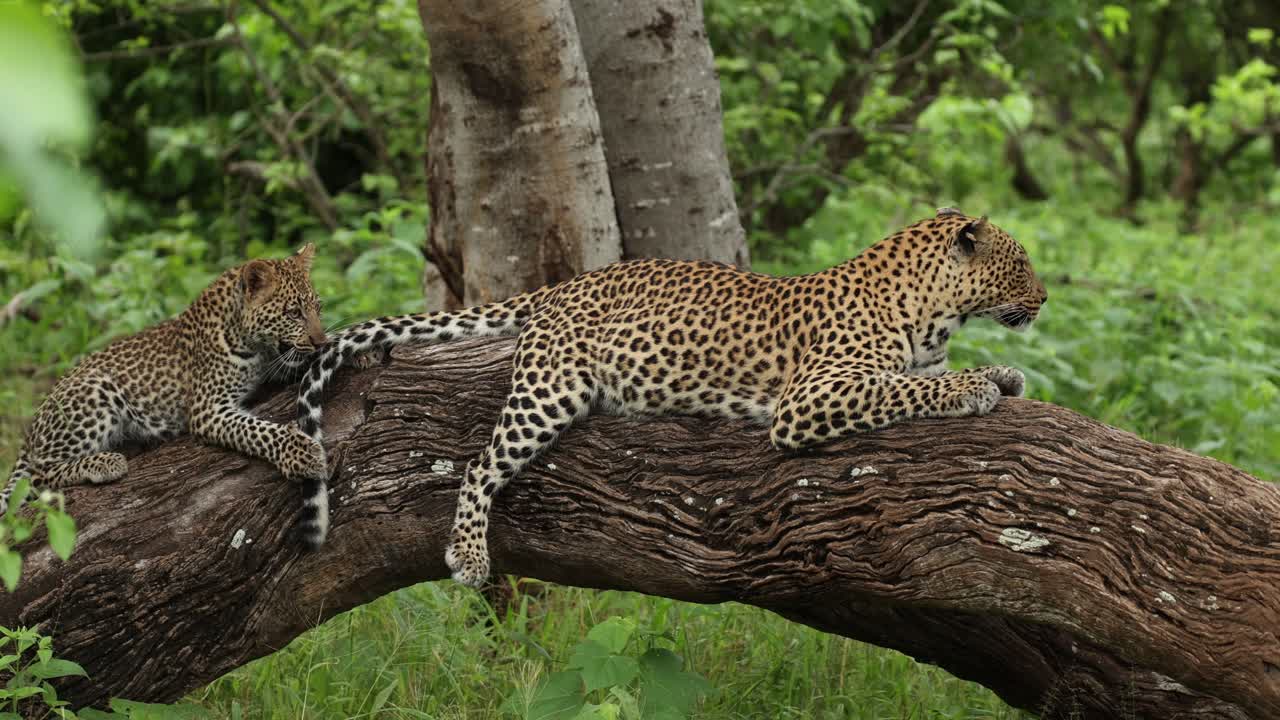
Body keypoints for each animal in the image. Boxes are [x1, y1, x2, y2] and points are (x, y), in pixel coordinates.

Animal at [2, 244, 332, 548]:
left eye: (318, 308)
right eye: (293, 313)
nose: (320, 342)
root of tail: (31, 431)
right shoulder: (208, 410)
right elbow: (257, 431)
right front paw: (301, 452)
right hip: (96, 391)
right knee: (37, 477)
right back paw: (105, 463)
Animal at [295, 209, 1046, 585]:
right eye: (1023, 264)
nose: (1044, 298)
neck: (936, 311)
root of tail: (567, 284)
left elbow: (920, 376)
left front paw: (1003, 370)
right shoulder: (811, 397)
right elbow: (907, 386)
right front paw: (977, 386)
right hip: (549, 392)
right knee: (480, 463)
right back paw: (470, 556)